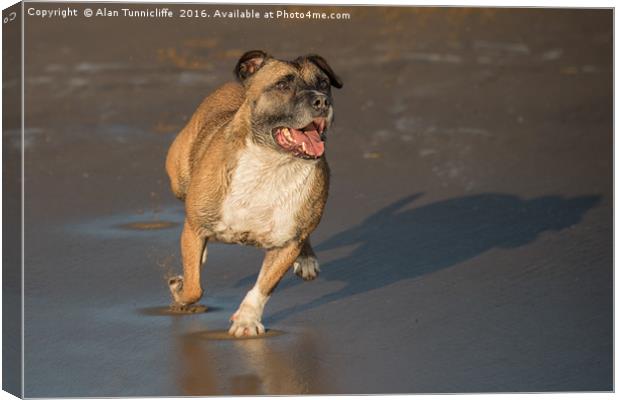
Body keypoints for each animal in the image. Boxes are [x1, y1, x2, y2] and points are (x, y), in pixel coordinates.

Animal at [162, 50, 342, 338]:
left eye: (324, 83)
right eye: (282, 85)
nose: (322, 100)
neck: (272, 163)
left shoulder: (286, 244)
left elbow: (263, 287)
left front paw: (247, 320)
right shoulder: (196, 226)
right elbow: (193, 288)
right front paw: (180, 289)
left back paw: (306, 258)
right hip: (179, 179)